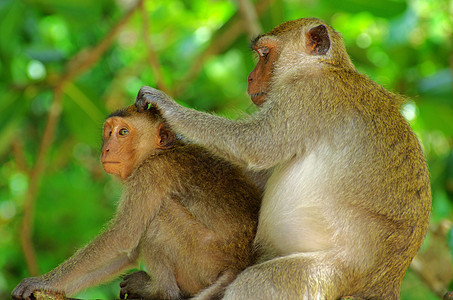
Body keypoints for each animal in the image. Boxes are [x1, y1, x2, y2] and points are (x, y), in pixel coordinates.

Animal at [10, 105, 260, 300]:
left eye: (123, 132)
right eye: (109, 132)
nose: (106, 148)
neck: (156, 153)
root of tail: (238, 264)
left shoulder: (150, 174)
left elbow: (123, 236)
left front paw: (42, 282)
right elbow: (127, 250)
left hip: (203, 260)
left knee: (160, 218)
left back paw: (160, 292)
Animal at [135, 17, 430, 298]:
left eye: (265, 54)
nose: (250, 78)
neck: (325, 68)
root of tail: (387, 282)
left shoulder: (309, 96)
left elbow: (255, 145)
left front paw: (168, 108)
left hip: (329, 275)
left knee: (255, 284)